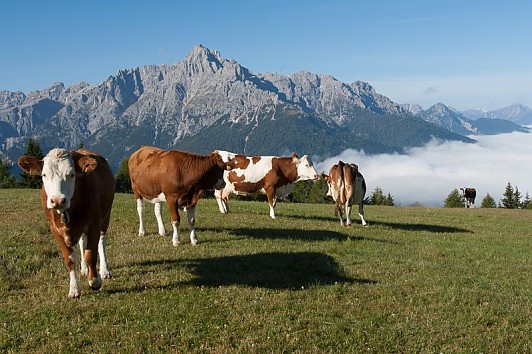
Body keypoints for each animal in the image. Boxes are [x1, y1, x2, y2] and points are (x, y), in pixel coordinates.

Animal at [18, 148, 113, 298]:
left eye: (72, 174)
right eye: (44, 174)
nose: (57, 200)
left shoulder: (94, 222)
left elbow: (91, 254)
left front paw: (95, 281)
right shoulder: (54, 229)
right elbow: (70, 258)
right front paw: (74, 289)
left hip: (106, 216)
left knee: (101, 241)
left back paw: (104, 271)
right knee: (82, 241)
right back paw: (84, 269)